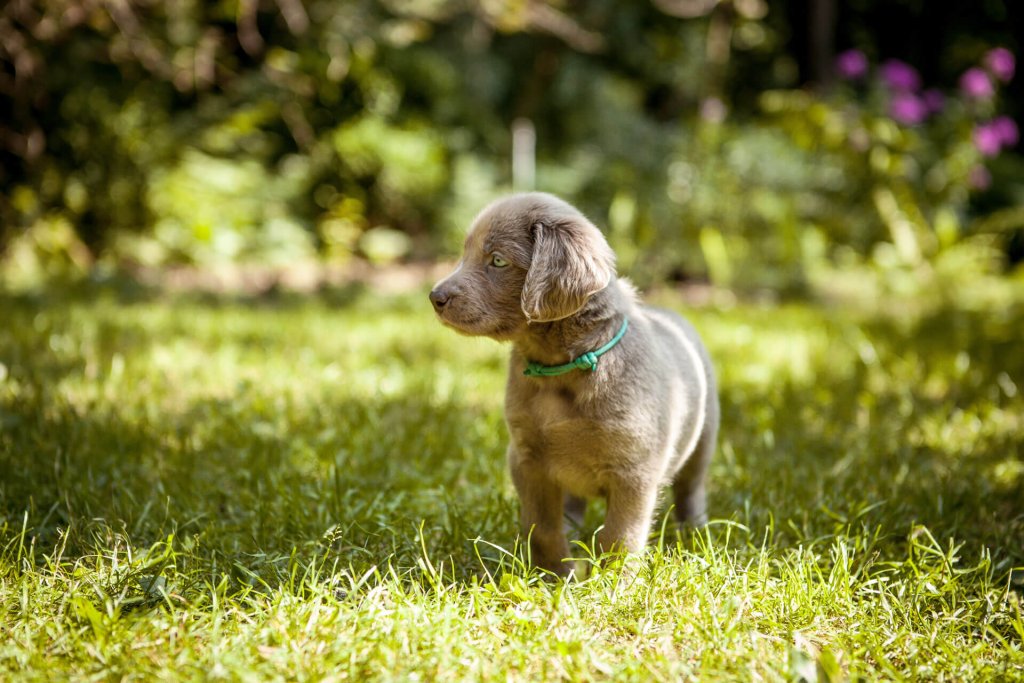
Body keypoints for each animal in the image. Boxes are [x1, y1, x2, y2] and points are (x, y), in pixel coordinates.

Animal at [428, 192, 716, 577]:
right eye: (465, 254)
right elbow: (542, 527)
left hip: (702, 440)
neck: (559, 372)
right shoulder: (527, 458)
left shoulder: (634, 471)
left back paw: (695, 535)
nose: (435, 297)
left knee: (690, 490)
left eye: (498, 260)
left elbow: (620, 536)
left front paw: (612, 582)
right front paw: (553, 575)